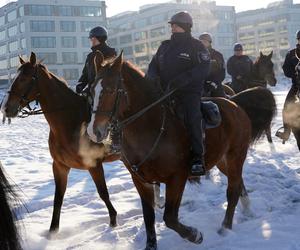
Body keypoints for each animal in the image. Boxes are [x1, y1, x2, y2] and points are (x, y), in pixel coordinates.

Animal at [0, 53, 118, 234]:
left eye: (25, 78)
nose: (6, 108)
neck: (70, 122)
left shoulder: (94, 165)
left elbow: (103, 193)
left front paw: (113, 221)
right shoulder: (60, 166)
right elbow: (58, 199)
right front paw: (52, 231)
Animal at [88, 51, 276, 249]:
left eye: (110, 90)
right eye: (91, 90)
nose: (94, 131)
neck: (152, 128)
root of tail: (235, 104)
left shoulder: (177, 177)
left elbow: (170, 218)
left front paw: (195, 235)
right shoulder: (140, 180)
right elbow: (149, 217)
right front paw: (151, 244)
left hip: (236, 156)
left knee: (232, 191)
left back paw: (225, 228)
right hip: (222, 161)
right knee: (238, 182)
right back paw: (246, 209)